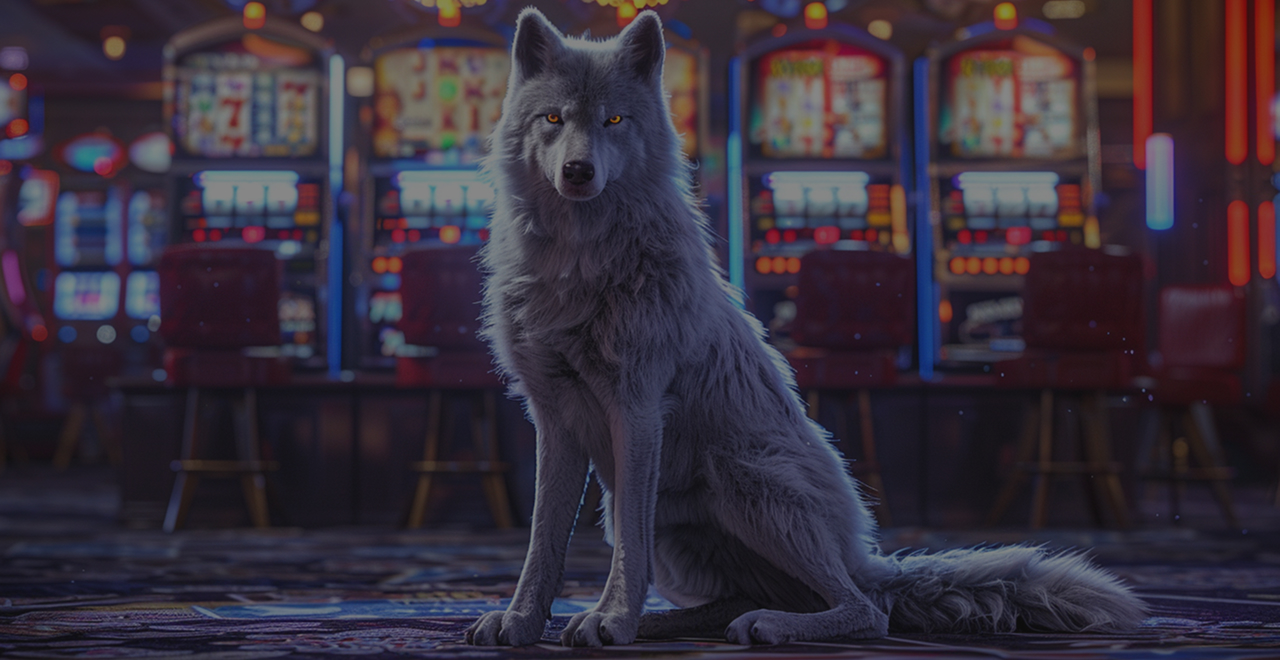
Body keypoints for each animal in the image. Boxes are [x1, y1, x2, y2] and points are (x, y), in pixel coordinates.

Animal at [465, 7, 1148, 647]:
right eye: (554, 119)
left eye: (613, 122)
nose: (578, 171)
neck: (576, 264)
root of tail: (869, 560)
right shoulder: (553, 418)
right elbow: (541, 538)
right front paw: (522, 620)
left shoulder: (636, 408)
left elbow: (626, 549)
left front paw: (611, 619)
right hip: (669, 527)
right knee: (742, 601)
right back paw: (677, 622)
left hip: (743, 475)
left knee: (864, 612)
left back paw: (767, 626)